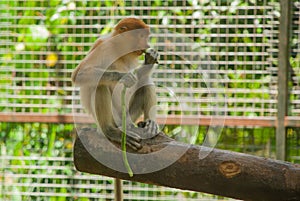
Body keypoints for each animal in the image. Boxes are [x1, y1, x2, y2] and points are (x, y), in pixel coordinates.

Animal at [72, 18, 159, 150]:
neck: (120, 51)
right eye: (141, 36)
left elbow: (139, 78)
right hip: (114, 118)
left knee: (145, 81)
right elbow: (79, 74)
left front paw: (150, 58)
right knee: (100, 85)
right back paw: (110, 131)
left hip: (129, 115)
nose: (147, 46)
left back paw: (149, 124)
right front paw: (124, 77)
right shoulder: (103, 45)